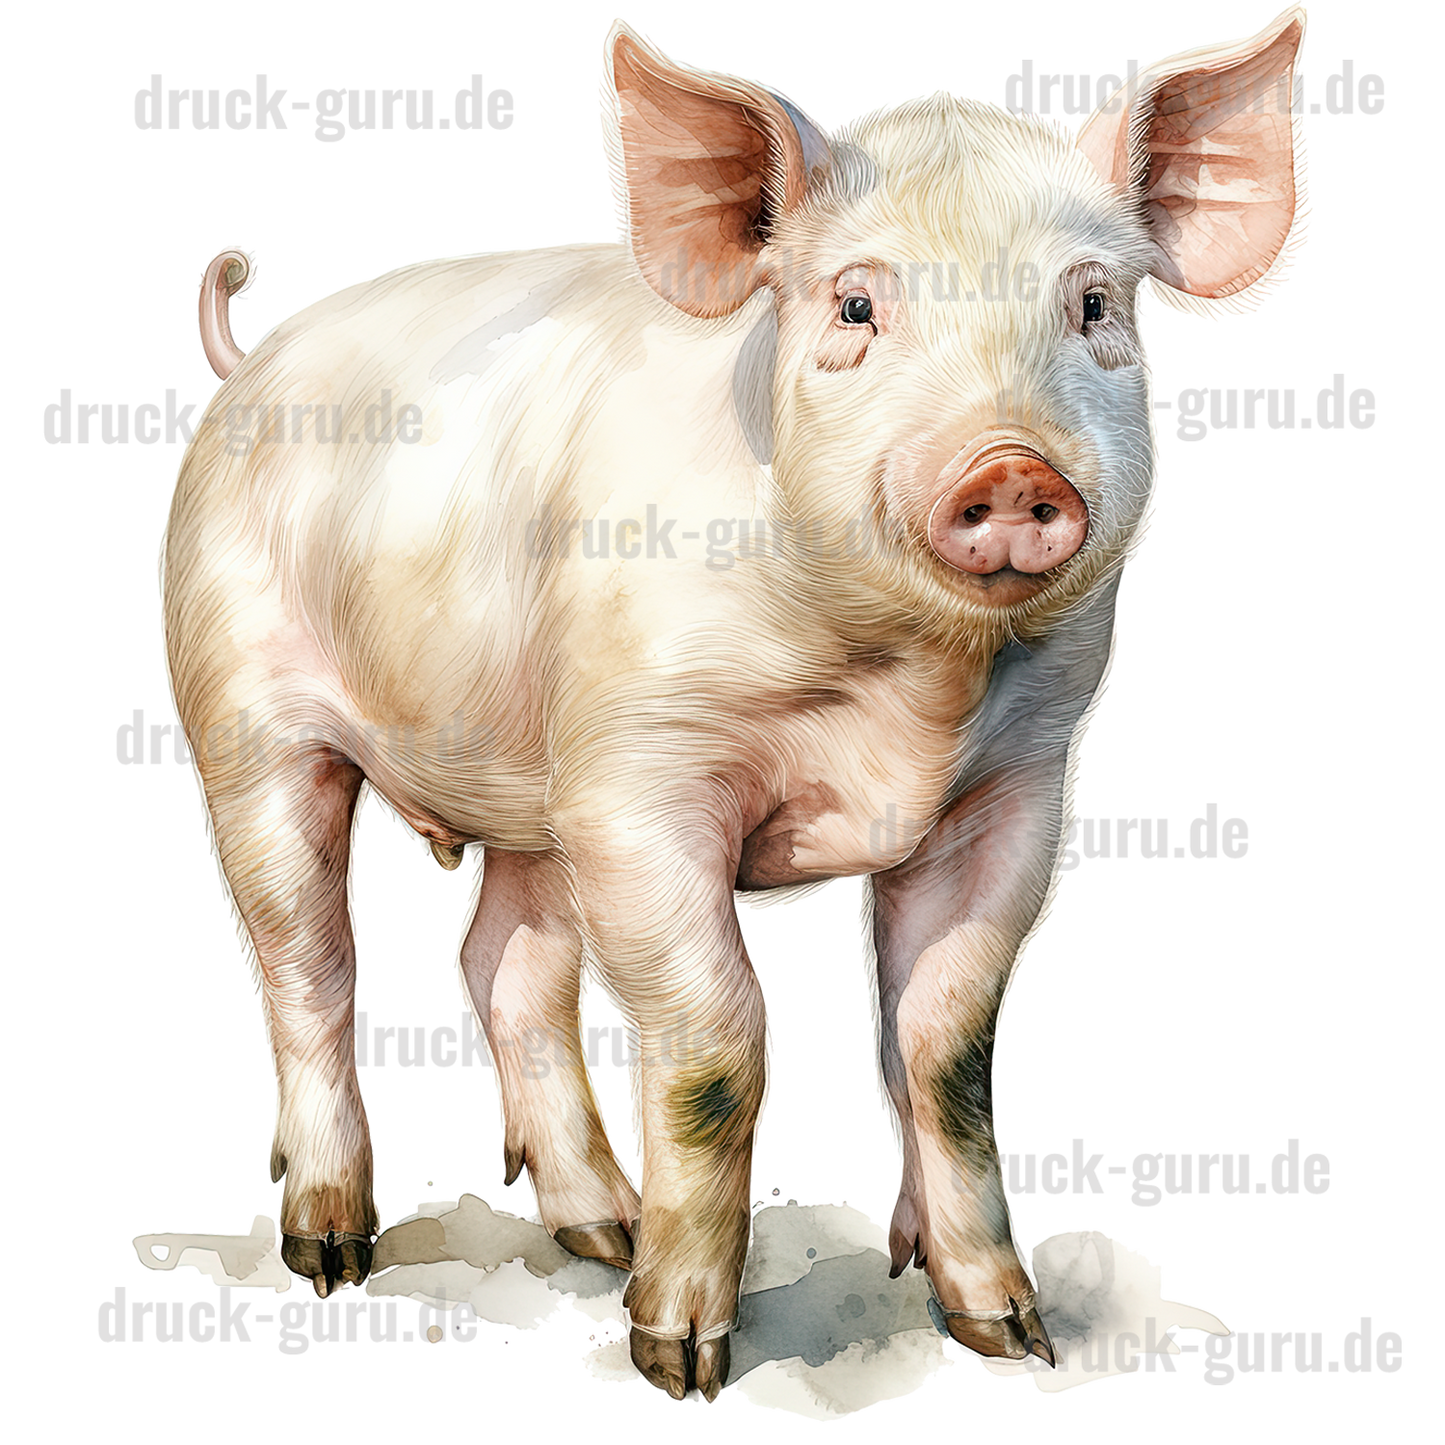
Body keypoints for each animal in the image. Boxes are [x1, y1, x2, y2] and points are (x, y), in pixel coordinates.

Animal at [160, 6, 1311, 1400]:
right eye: (855, 302)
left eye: (1092, 303)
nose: (1007, 467)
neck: (906, 689)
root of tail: (250, 359)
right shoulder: (641, 777)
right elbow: (717, 1044)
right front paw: (679, 1358)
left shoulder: (1022, 786)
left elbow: (946, 1045)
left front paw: (1006, 1331)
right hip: (242, 708)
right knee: (306, 959)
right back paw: (332, 1248)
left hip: (537, 778)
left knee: (501, 963)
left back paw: (598, 1227)